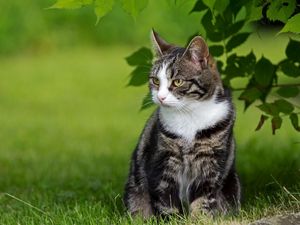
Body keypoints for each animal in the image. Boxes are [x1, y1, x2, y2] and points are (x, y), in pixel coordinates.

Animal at [123, 29, 240, 218]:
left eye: (177, 81)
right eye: (156, 81)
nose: (160, 97)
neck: (189, 114)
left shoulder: (211, 161)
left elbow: (203, 197)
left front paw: (199, 218)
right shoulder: (163, 158)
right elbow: (165, 197)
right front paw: (171, 219)